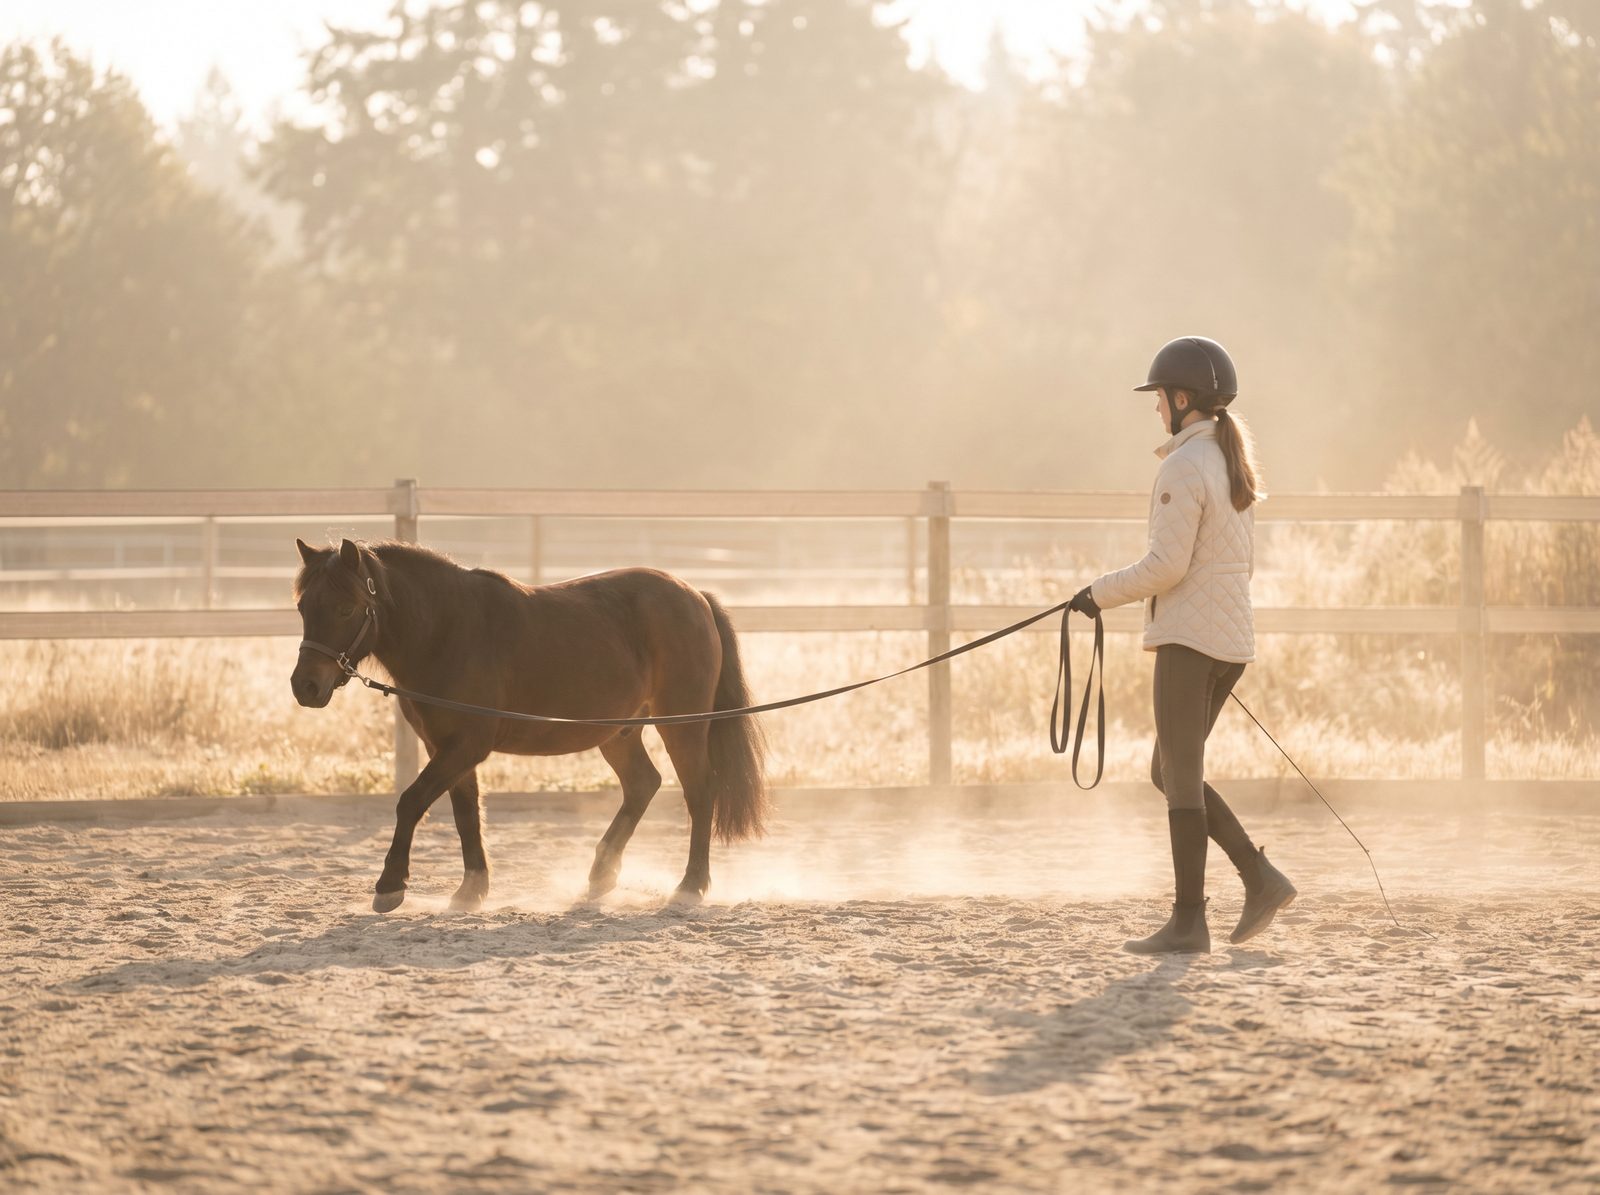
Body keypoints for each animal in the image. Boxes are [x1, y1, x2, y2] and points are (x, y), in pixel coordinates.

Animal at [289, 537, 768, 912]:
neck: (447, 631)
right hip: (620, 732)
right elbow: (466, 813)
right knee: (642, 784)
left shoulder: (465, 746)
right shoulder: (445, 747)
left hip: (683, 726)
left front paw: (390, 885)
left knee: (700, 792)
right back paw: (601, 874)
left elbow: (410, 801)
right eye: (302, 606)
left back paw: (690, 886)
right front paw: (471, 890)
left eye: (346, 607)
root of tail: (695, 596)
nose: (305, 686)